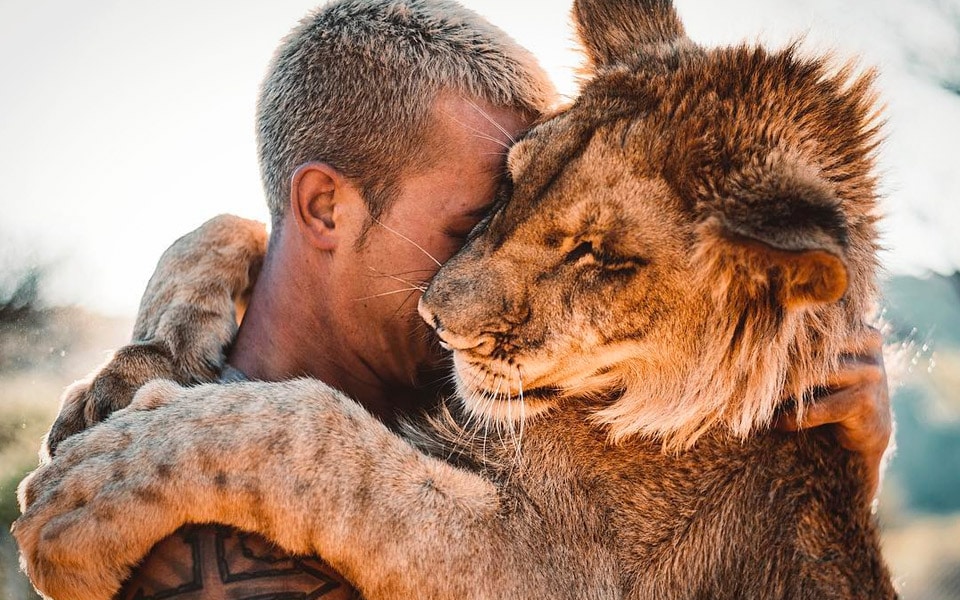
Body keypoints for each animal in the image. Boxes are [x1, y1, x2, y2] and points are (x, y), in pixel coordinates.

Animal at [15, 0, 896, 596]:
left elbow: (319, 439)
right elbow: (225, 224)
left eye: (602, 256)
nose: (438, 319)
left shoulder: (549, 565)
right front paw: (130, 372)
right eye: (510, 184)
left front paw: (90, 492)